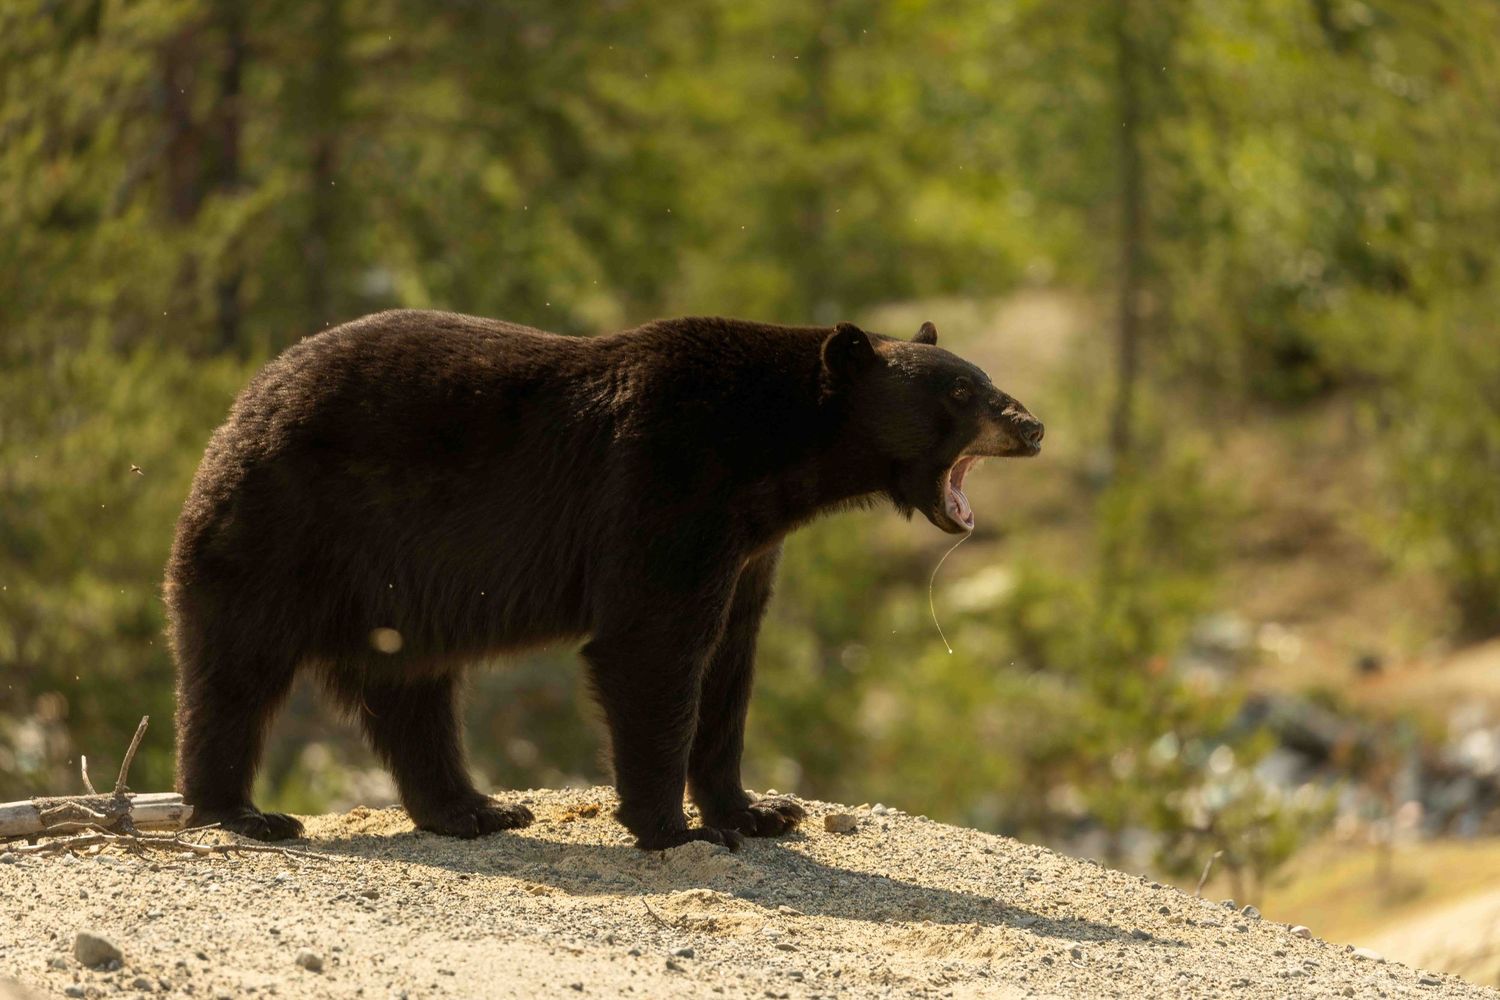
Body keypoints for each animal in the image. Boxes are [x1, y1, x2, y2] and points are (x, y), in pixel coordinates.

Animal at [165, 310, 1043, 850]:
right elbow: (654, 643)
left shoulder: (750, 546)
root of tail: (245, 399)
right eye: (960, 389)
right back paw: (242, 811)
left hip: (391, 583)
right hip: (287, 525)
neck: (772, 453)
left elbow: (731, 663)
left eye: (980, 375)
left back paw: (475, 807)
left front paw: (761, 809)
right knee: (236, 669)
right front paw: (675, 826)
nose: (1032, 424)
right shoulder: (669, 476)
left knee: (411, 689)